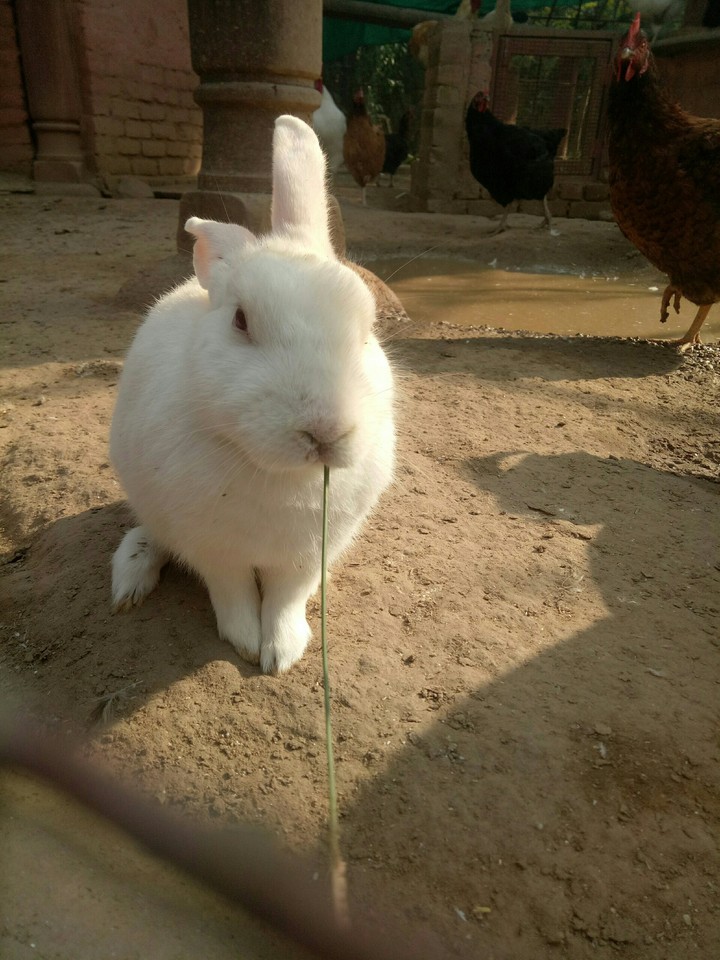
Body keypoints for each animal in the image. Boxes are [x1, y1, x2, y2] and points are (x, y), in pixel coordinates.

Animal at [110, 115, 395, 674]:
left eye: (367, 330)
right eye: (241, 321)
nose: (325, 430)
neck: (279, 475)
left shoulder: (308, 556)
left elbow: (286, 599)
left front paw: (282, 652)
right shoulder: (214, 548)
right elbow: (233, 592)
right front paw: (244, 642)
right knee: (150, 534)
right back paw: (129, 581)